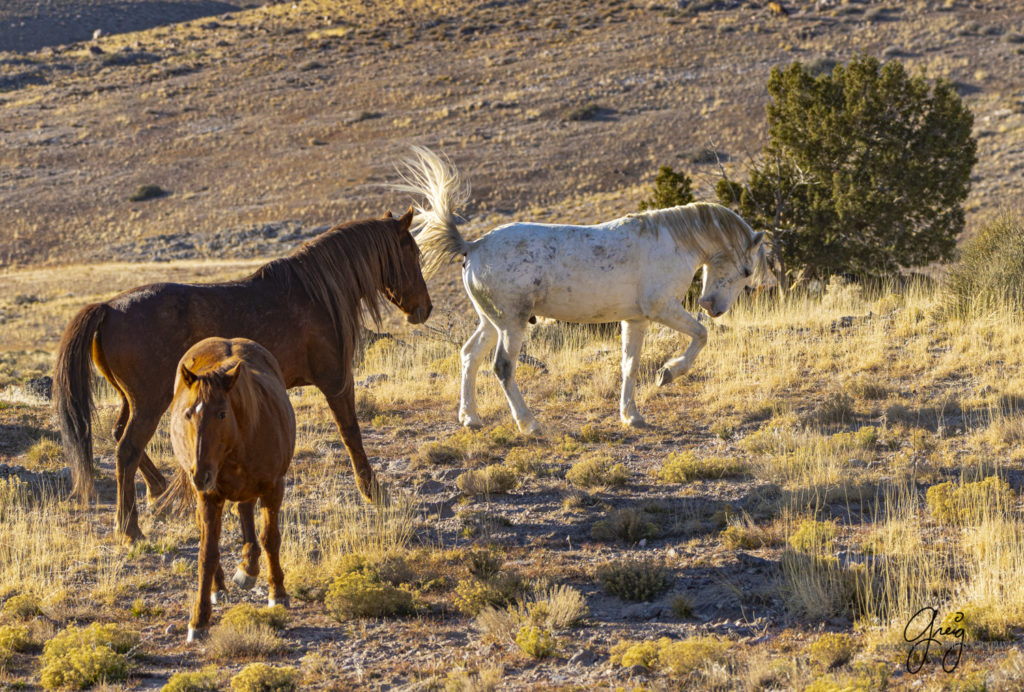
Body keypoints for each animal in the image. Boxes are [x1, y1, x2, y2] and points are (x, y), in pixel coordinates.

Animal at [56, 207, 432, 544]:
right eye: (413, 253)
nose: (425, 309)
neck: (316, 295)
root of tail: (108, 308)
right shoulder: (336, 381)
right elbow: (351, 433)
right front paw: (374, 492)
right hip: (148, 403)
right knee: (127, 449)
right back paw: (130, 528)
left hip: (133, 400)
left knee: (121, 437)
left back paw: (158, 492)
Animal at [168, 337, 294, 638]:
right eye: (188, 414)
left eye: (222, 414)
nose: (200, 475)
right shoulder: (209, 496)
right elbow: (207, 554)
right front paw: (199, 619)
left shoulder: (274, 488)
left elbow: (270, 538)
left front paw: (278, 593)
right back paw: (223, 584)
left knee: (246, 512)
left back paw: (248, 568)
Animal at [395, 148, 770, 436]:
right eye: (746, 271)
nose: (713, 307)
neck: (673, 240)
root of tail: (471, 246)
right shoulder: (662, 308)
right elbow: (701, 335)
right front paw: (668, 373)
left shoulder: (636, 320)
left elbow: (629, 365)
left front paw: (631, 415)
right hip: (511, 325)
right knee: (502, 368)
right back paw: (528, 424)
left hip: (491, 322)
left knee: (469, 356)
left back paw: (470, 418)